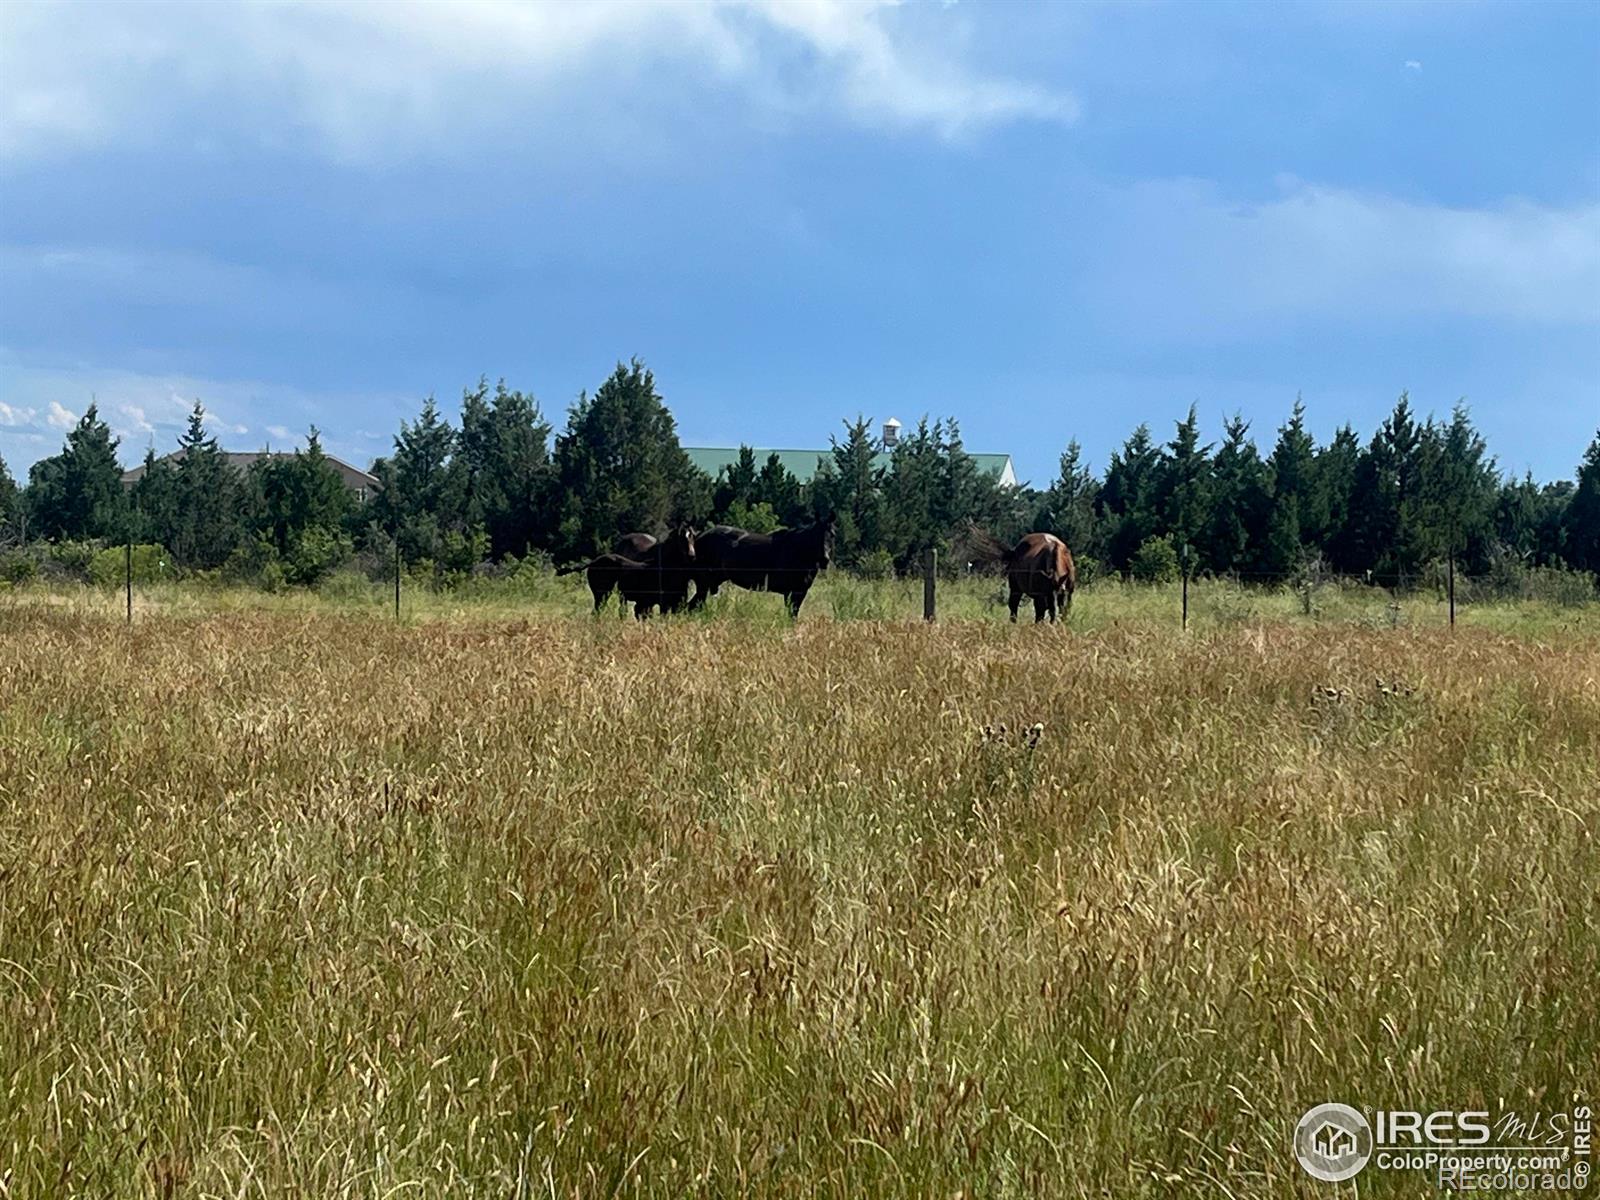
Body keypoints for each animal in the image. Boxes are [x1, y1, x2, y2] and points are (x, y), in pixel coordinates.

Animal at [556, 528, 694, 620]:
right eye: (682, 539)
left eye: (693, 538)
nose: (692, 556)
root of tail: (593, 562)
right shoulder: (662, 603)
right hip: (602, 594)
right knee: (598, 612)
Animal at [688, 518, 838, 620]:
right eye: (815, 535)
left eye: (832, 534)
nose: (824, 559)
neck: (797, 551)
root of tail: (698, 537)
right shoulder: (791, 592)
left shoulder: (800, 592)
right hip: (704, 584)